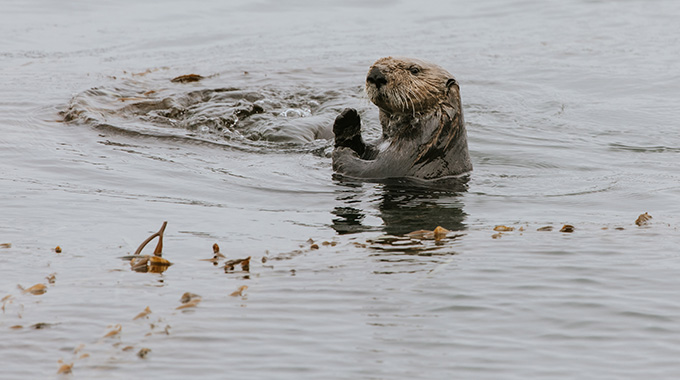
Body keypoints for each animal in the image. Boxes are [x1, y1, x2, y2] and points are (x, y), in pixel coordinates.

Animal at [330, 57, 470, 180]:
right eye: (374, 63)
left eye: (414, 70)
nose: (376, 75)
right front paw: (348, 119)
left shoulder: (403, 160)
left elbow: (368, 170)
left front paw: (343, 153)